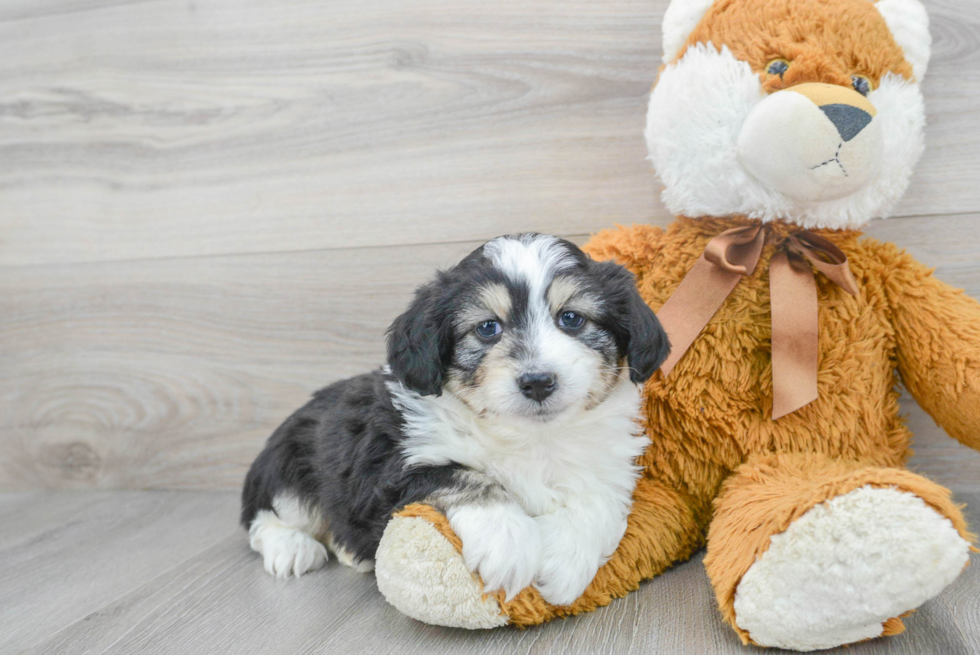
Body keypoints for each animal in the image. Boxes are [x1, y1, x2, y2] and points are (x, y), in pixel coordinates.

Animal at [241, 233, 668, 608]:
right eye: (487, 327)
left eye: (572, 319)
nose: (537, 382)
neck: (532, 437)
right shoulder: (389, 467)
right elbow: (465, 476)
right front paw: (507, 542)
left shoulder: (610, 466)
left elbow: (599, 502)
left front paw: (565, 563)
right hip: (289, 465)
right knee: (266, 519)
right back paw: (292, 548)